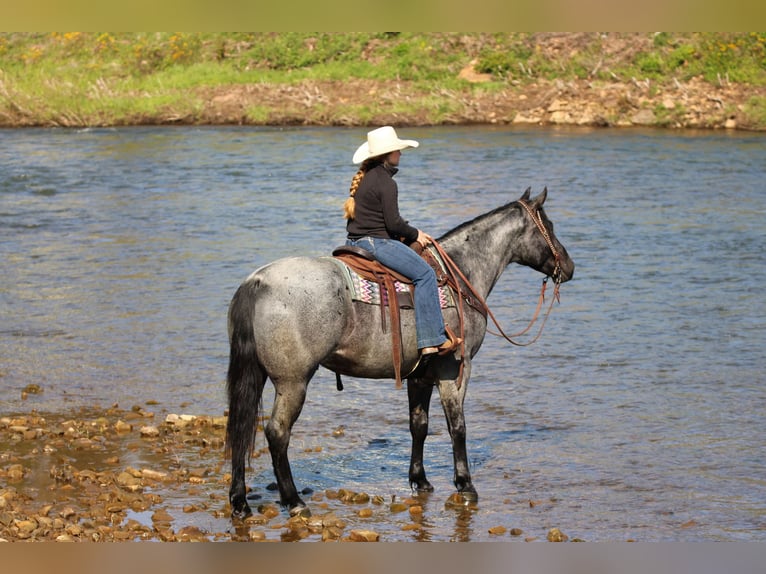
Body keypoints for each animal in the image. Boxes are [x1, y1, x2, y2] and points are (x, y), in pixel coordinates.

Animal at [225, 187, 574, 518]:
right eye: (549, 226)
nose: (569, 267)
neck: (461, 272)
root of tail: (257, 282)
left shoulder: (419, 374)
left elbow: (418, 424)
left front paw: (420, 480)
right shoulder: (455, 370)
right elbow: (457, 426)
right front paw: (465, 484)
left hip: (257, 375)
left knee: (241, 428)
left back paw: (240, 502)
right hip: (293, 382)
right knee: (277, 432)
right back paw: (293, 500)